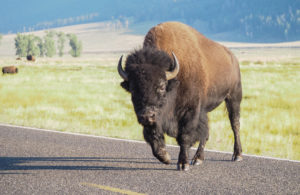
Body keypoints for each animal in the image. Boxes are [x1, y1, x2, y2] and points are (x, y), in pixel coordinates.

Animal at [118, 21, 243, 171]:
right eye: (133, 89)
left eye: (161, 86)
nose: (146, 116)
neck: (175, 80)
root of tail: (233, 58)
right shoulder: (157, 118)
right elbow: (152, 135)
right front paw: (165, 157)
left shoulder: (190, 111)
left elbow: (185, 136)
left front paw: (183, 164)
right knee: (206, 133)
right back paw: (198, 159)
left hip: (233, 97)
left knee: (235, 124)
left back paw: (237, 155)